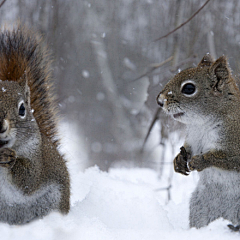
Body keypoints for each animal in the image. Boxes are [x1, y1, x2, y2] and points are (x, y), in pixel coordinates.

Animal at [158, 53, 240, 230]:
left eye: (189, 88)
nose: (159, 101)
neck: (203, 124)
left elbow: (227, 159)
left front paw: (201, 160)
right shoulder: (193, 138)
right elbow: (187, 150)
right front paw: (178, 161)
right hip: (201, 207)